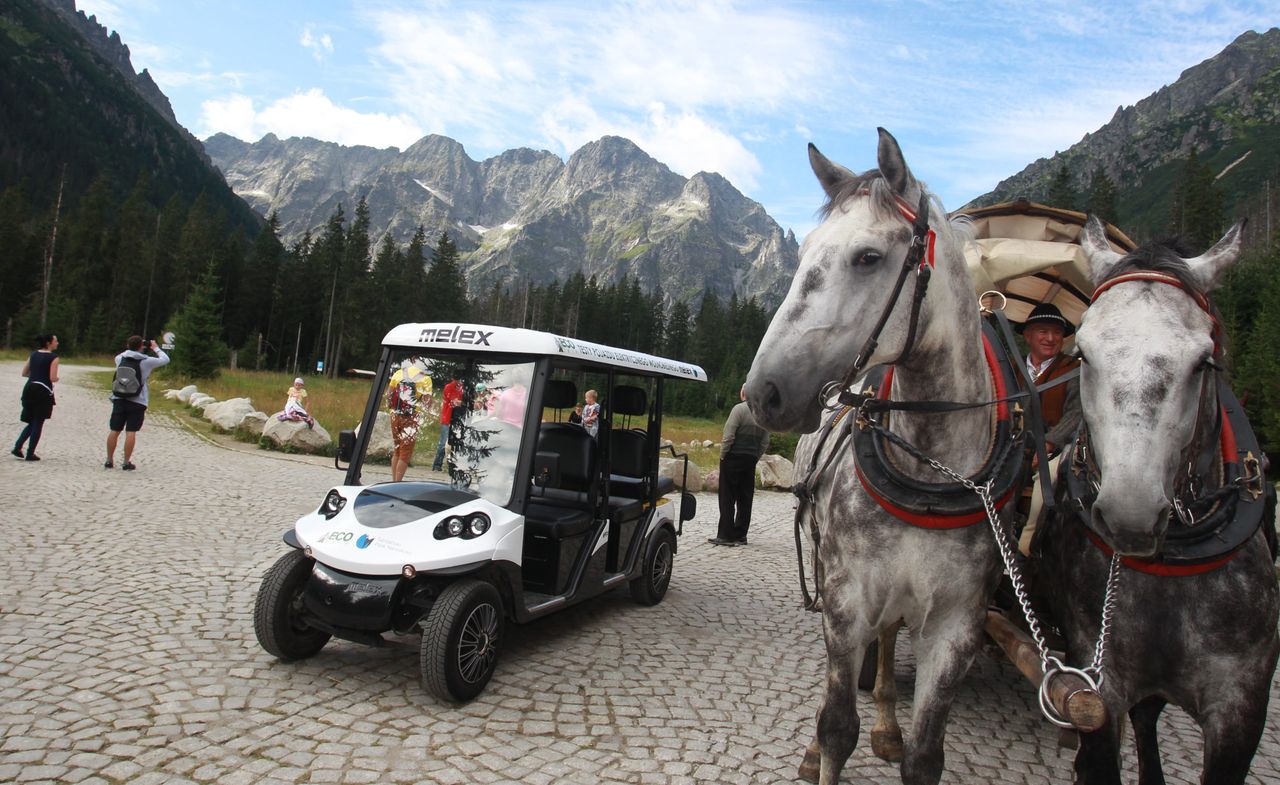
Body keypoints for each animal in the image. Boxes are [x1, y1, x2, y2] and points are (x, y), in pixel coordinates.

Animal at [747, 129, 1013, 783]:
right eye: (804, 250)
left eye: (867, 257)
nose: (761, 393)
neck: (929, 471)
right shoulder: (847, 601)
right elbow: (837, 726)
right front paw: (821, 749)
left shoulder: (958, 627)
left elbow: (926, 756)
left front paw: (901, 736)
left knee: (892, 642)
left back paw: (889, 723)